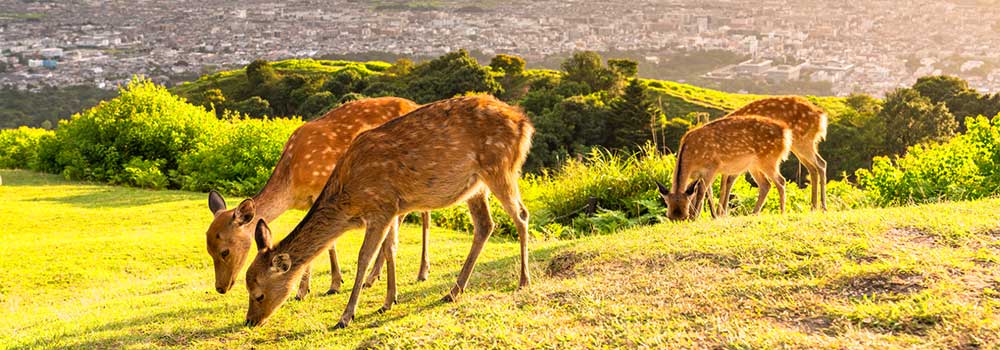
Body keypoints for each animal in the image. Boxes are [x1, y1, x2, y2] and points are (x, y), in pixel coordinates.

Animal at [206, 96, 434, 300]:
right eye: (208, 249)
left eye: (225, 251)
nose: (220, 287)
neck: (292, 183)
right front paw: (306, 289)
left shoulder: (320, 187)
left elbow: (330, 243)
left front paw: (327, 286)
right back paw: (373, 277)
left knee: (425, 214)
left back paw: (422, 272)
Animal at [243, 95, 536, 328]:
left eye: (258, 294)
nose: (250, 321)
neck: (349, 198)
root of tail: (525, 123)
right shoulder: (394, 207)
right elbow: (391, 248)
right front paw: (388, 301)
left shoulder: (381, 206)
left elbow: (364, 257)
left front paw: (345, 316)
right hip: (475, 185)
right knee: (485, 224)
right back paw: (453, 291)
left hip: (500, 167)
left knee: (521, 214)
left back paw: (523, 280)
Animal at [652, 115, 792, 220]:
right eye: (669, 216)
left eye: (684, 216)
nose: (683, 218)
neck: (691, 157)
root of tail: (786, 133)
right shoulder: (699, 175)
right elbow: (707, 193)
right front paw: (713, 215)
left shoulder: (713, 166)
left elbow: (702, 192)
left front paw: (695, 216)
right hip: (754, 165)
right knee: (766, 184)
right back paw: (754, 213)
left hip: (769, 160)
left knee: (781, 181)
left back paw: (782, 212)